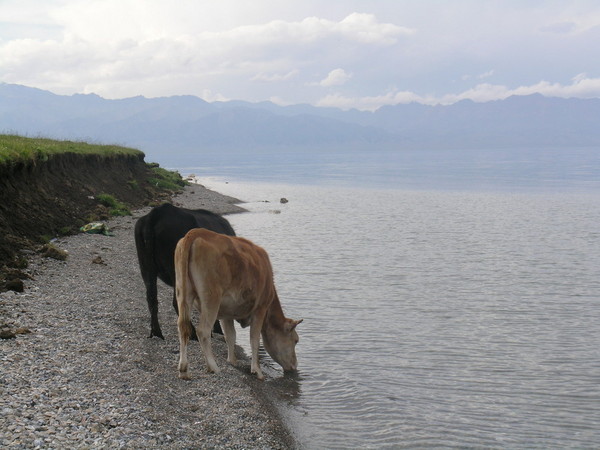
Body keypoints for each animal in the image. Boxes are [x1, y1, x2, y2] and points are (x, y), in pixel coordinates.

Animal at [135, 203, 236, 338]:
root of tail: (157, 212)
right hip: (176, 270)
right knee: (176, 302)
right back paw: (192, 333)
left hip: (146, 266)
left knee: (151, 297)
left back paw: (157, 332)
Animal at [176, 229, 302, 380]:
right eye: (295, 340)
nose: (295, 365)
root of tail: (195, 232)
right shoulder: (260, 308)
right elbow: (254, 339)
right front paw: (257, 371)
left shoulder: (226, 313)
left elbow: (231, 335)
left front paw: (232, 361)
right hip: (211, 298)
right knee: (202, 330)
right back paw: (213, 367)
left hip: (183, 292)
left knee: (183, 327)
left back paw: (183, 369)